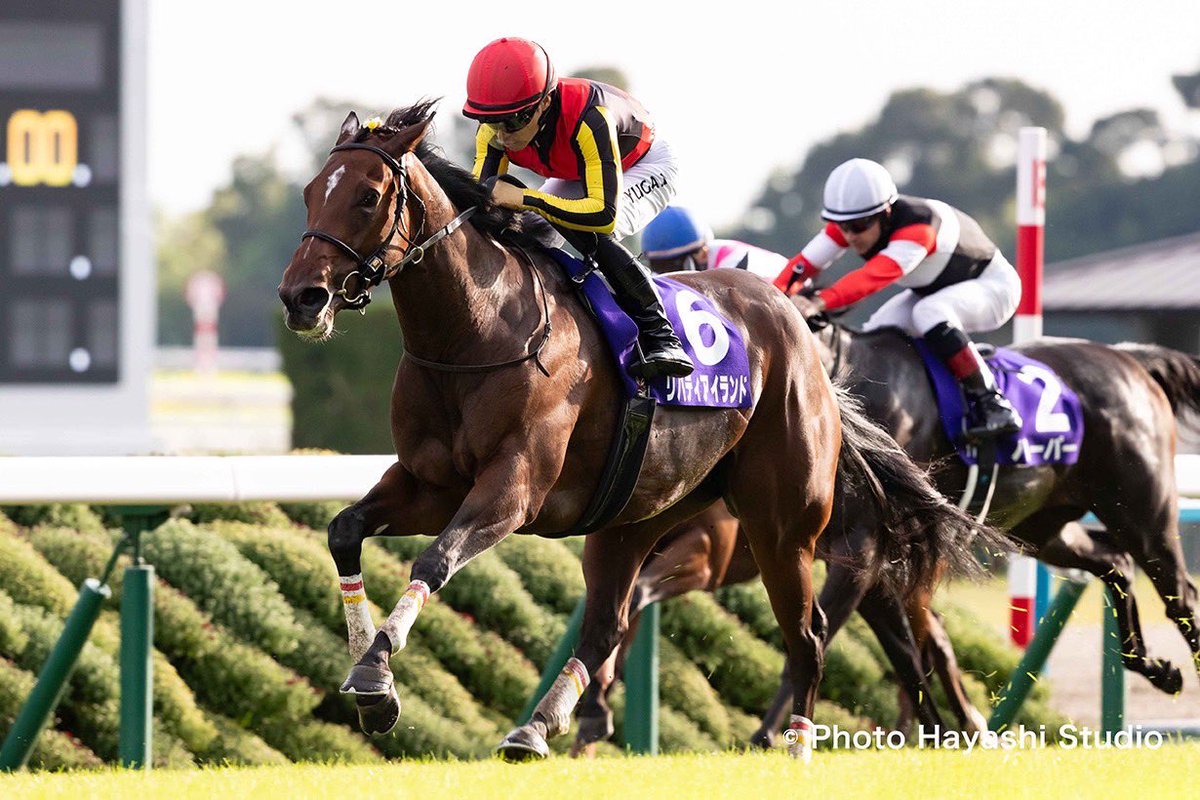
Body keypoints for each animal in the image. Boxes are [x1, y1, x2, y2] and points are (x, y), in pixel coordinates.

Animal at [276, 101, 992, 761]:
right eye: (310, 192)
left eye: (368, 197)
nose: (300, 297)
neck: (475, 332)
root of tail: (794, 324)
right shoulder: (429, 484)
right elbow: (344, 530)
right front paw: (370, 676)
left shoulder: (513, 490)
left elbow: (436, 557)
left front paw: (376, 673)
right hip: (636, 516)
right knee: (608, 624)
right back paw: (537, 728)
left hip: (783, 526)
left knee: (809, 635)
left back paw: (794, 747)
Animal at [783, 295, 1200, 714]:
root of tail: (1131, 360)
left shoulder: (863, 547)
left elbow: (819, 640)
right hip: (1043, 529)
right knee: (1116, 563)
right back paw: (1154, 666)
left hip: (1142, 515)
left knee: (1180, 595)